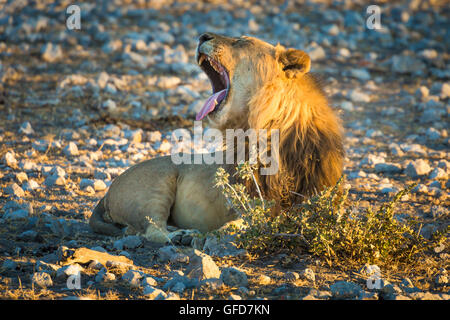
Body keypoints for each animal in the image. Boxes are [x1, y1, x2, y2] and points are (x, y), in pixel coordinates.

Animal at [90, 33, 344, 242]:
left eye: (242, 41)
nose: (203, 36)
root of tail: (108, 192)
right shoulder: (249, 200)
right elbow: (243, 221)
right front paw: (219, 232)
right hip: (155, 188)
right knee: (150, 230)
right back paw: (183, 235)